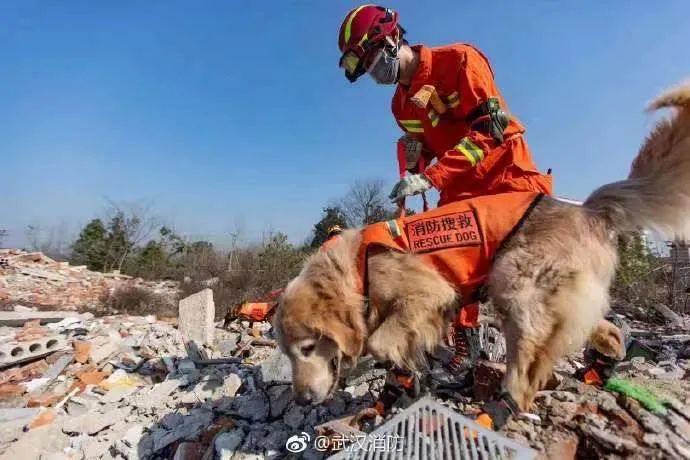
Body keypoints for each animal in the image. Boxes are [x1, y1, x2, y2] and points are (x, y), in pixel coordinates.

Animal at [272, 81, 688, 416]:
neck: (357, 271)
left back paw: (502, 408)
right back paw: (600, 367)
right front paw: (399, 385)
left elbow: (378, 342)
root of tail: (587, 209)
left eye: (308, 347)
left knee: (527, 371)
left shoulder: (428, 295)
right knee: (607, 331)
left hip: (516, 283)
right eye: (288, 354)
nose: (302, 400)